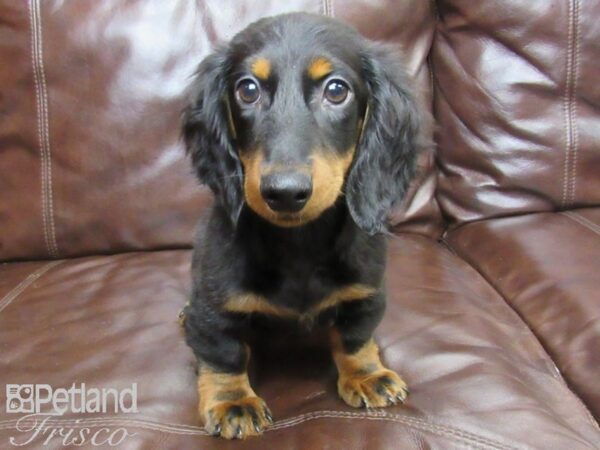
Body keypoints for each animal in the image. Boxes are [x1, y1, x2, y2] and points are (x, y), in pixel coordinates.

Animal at [180, 11, 420, 440]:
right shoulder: (213, 305)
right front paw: (232, 401)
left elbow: (356, 337)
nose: (285, 192)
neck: (299, 243)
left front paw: (366, 374)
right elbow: (223, 352)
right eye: (247, 89)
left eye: (337, 90)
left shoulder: (367, 293)